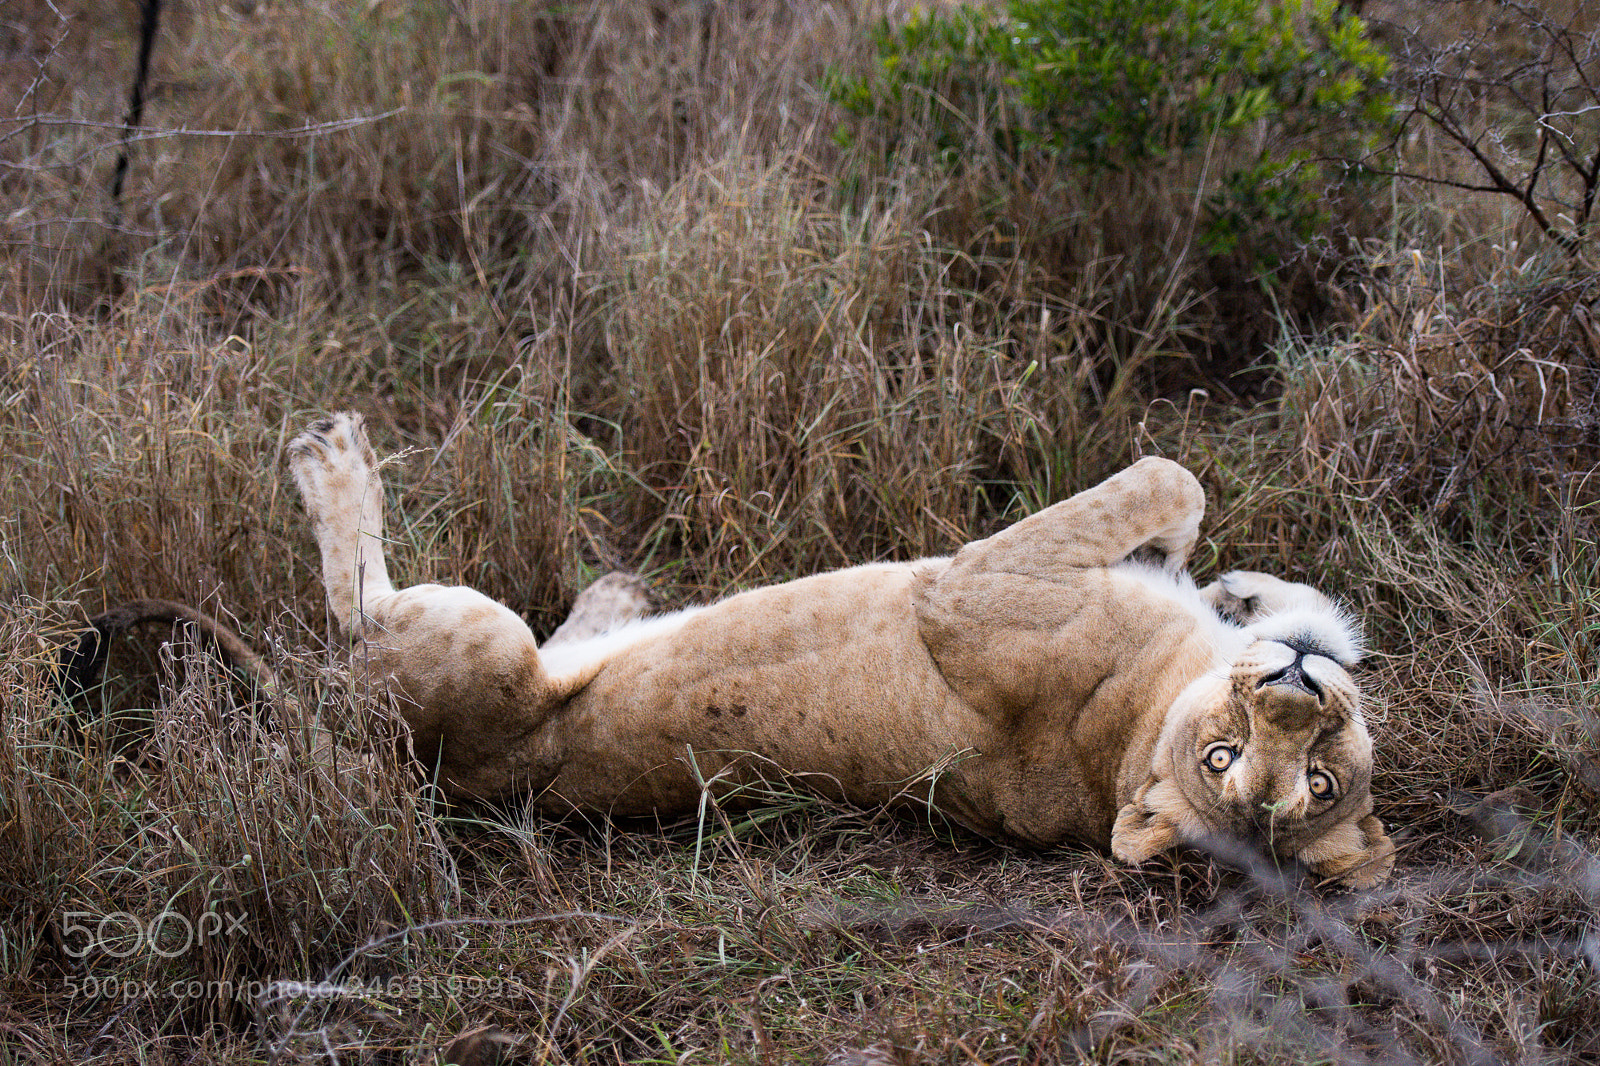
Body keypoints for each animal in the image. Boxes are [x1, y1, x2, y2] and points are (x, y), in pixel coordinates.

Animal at [281, 411, 1392, 888]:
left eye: (1310, 783)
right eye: (1226, 752)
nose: (1297, 690)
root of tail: (450, 781)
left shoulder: (963, 585)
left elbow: (1170, 472)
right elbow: (1182, 502)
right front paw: (1242, 588)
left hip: (476, 645)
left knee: (352, 618)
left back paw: (330, 460)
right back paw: (617, 591)